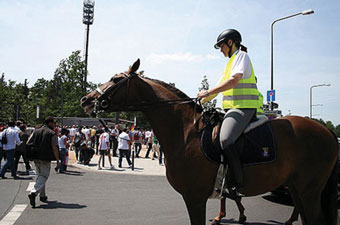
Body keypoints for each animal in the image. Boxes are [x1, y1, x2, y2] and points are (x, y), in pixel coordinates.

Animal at [81, 59, 338, 224]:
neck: (185, 132)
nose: (85, 100)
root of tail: (328, 132)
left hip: (309, 189)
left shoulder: (194, 197)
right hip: (297, 187)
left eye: (115, 79)